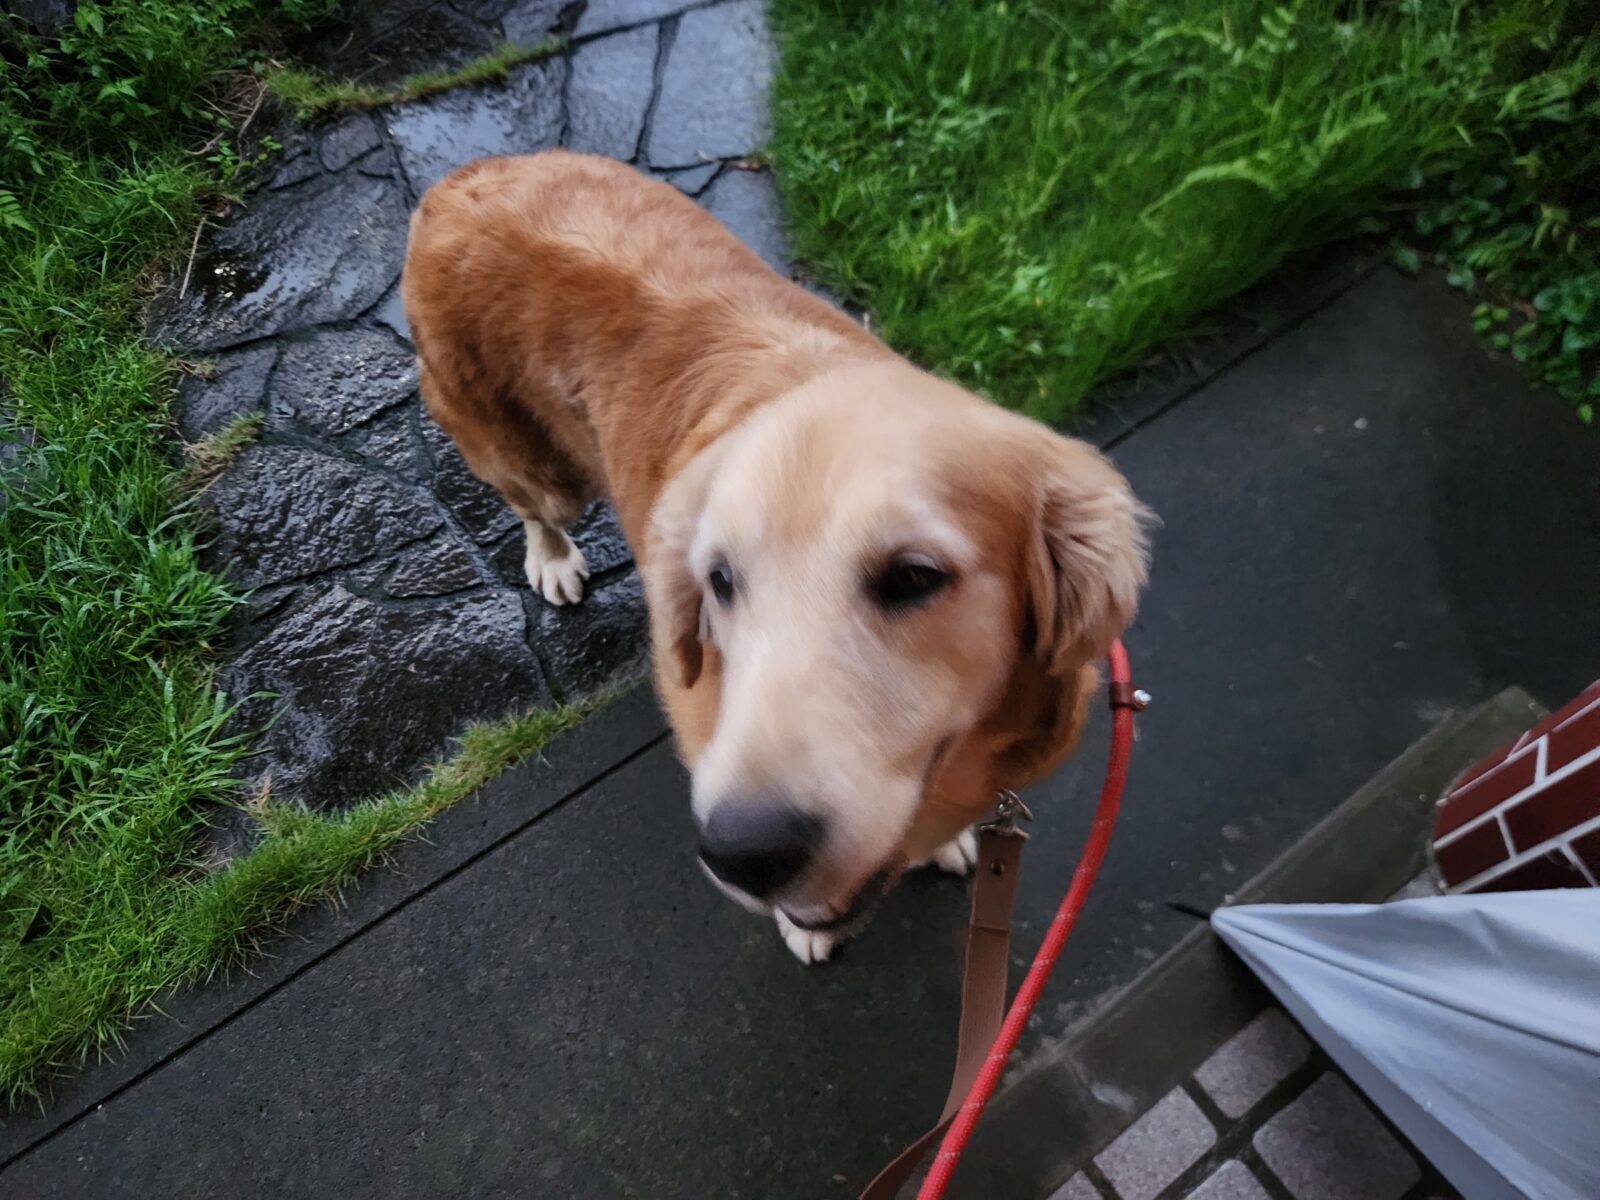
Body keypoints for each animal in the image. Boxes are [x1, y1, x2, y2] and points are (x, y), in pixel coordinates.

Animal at [402, 151, 1151, 963]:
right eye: (719, 582)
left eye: (914, 576)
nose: (742, 854)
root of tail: (462, 179)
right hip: (530, 464)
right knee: (533, 506)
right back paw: (552, 558)